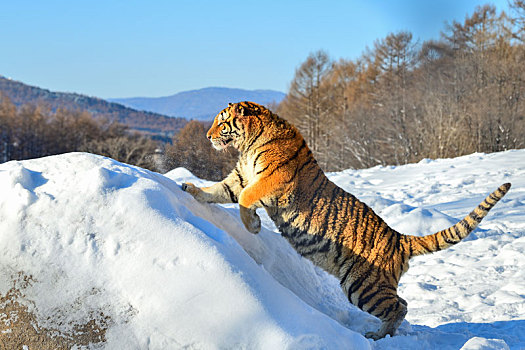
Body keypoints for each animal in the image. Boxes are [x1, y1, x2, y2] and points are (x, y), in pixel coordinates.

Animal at [181, 100, 512, 340]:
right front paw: (190, 189)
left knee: (399, 306)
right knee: (401, 304)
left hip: (362, 286)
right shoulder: (238, 179)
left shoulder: (271, 183)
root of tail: (399, 239)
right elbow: (218, 191)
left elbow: (245, 199)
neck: (249, 145)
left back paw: (377, 336)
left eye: (221, 122)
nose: (207, 136)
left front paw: (253, 227)